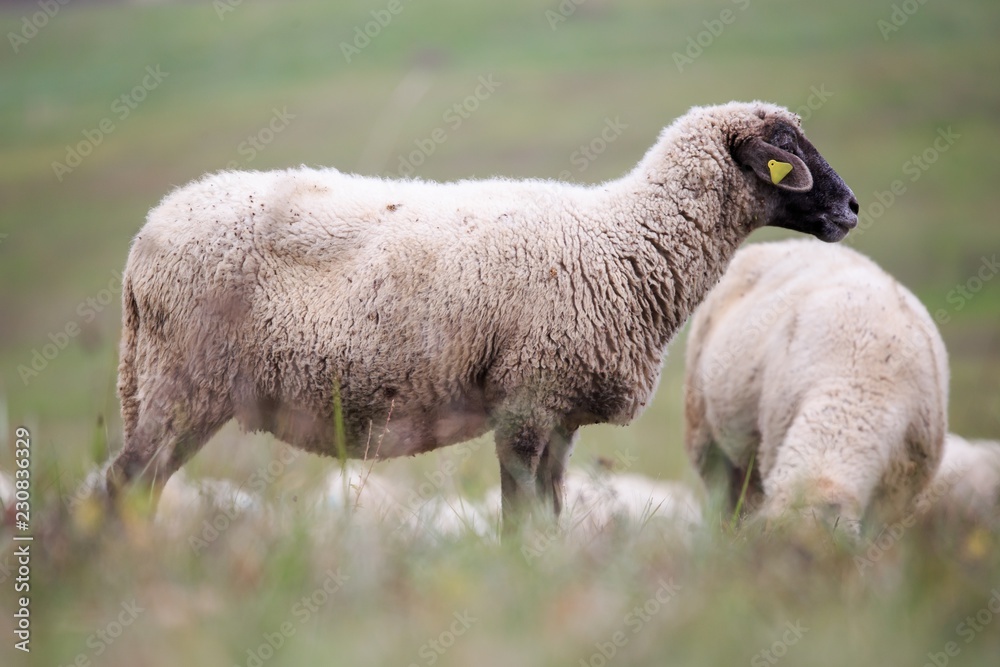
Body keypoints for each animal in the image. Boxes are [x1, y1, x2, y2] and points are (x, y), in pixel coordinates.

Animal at [106, 100, 859, 530]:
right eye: (785, 149)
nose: (851, 209)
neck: (624, 240)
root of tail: (145, 238)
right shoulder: (524, 401)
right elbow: (517, 522)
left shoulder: (559, 415)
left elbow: (547, 521)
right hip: (183, 381)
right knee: (122, 484)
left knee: (140, 486)